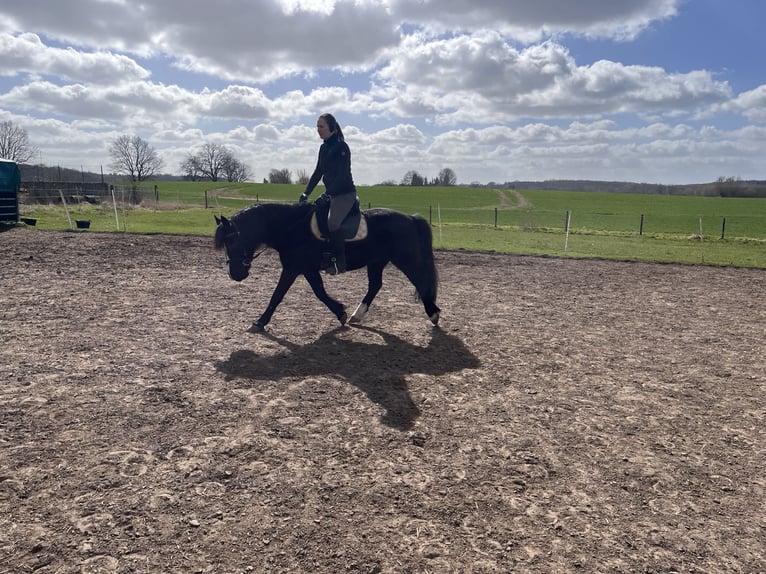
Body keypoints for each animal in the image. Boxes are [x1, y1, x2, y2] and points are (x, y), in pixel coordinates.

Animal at [213, 199, 440, 332]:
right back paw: (357, 315)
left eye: (231, 241)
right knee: (375, 285)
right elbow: (320, 292)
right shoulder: (307, 269)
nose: (235, 274)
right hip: (376, 261)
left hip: (405, 259)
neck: (291, 227)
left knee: (421, 281)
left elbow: (277, 295)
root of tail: (411, 218)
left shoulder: (292, 268)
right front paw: (340, 313)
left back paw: (433, 313)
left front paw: (260, 321)